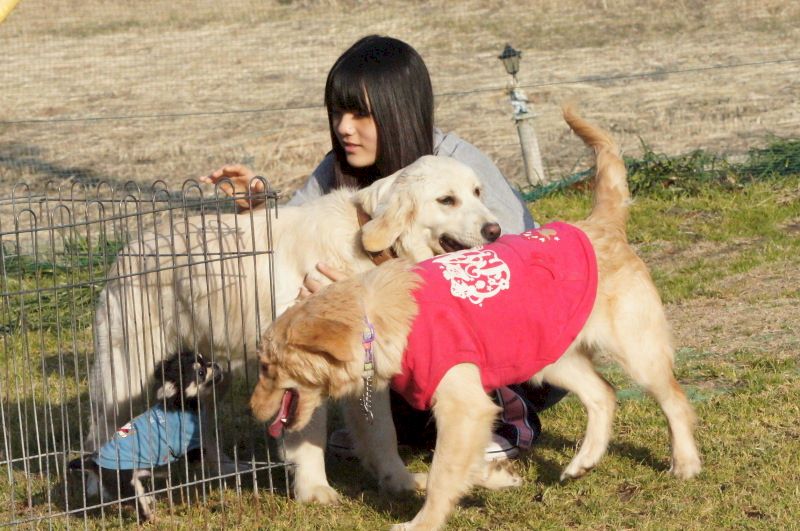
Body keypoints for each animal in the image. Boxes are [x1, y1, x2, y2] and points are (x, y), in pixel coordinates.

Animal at [70, 351, 228, 522]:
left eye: (204, 359)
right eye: (201, 373)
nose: (215, 364)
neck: (179, 404)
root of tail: (94, 463)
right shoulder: (188, 446)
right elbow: (198, 453)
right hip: (126, 483)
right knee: (137, 505)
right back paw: (152, 517)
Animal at [86, 155, 501, 501]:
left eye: (477, 192)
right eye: (446, 200)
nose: (495, 230)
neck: (367, 250)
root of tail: (131, 246)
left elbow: (383, 431)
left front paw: (398, 481)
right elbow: (306, 432)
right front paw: (314, 490)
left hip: (209, 371)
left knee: (199, 422)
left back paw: (224, 467)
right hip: (126, 371)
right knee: (101, 423)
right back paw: (99, 486)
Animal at [250, 107, 703, 530]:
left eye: (269, 368)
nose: (254, 411)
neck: (377, 320)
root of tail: (599, 225)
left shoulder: (464, 404)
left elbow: (440, 473)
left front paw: (422, 522)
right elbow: (455, 467)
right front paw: (499, 478)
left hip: (637, 352)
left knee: (674, 401)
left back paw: (685, 463)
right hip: (550, 357)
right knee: (603, 394)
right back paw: (583, 461)